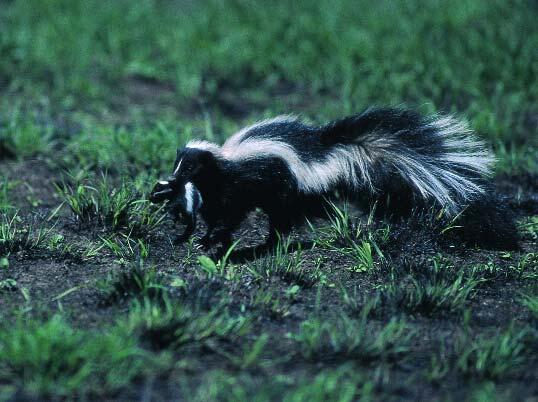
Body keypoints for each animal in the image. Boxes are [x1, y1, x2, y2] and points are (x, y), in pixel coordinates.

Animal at [150, 107, 516, 251]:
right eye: (177, 165)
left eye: (188, 168)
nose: (171, 180)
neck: (223, 163)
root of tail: (320, 151)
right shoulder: (215, 194)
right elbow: (214, 215)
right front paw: (206, 238)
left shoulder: (236, 186)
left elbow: (230, 215)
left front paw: (213, 239)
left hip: (286, 187)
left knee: (285, 218)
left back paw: (272, 243)